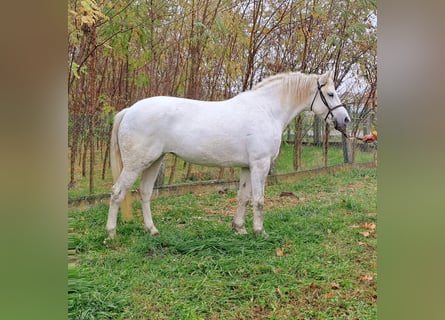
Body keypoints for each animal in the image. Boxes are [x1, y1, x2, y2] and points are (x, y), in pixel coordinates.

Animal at [106, 71, 348, 239]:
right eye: (330, 94)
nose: (345, 119)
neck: (266, 110)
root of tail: (129, 111)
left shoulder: (247, 167)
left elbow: (243, 197)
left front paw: (239, 228)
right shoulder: (260, 164)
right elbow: (259, 200)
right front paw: (260, 231)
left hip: (154, 162)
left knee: (145, 193)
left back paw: (153, 230)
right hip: (136, 164)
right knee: (117, 193)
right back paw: (111, 233)